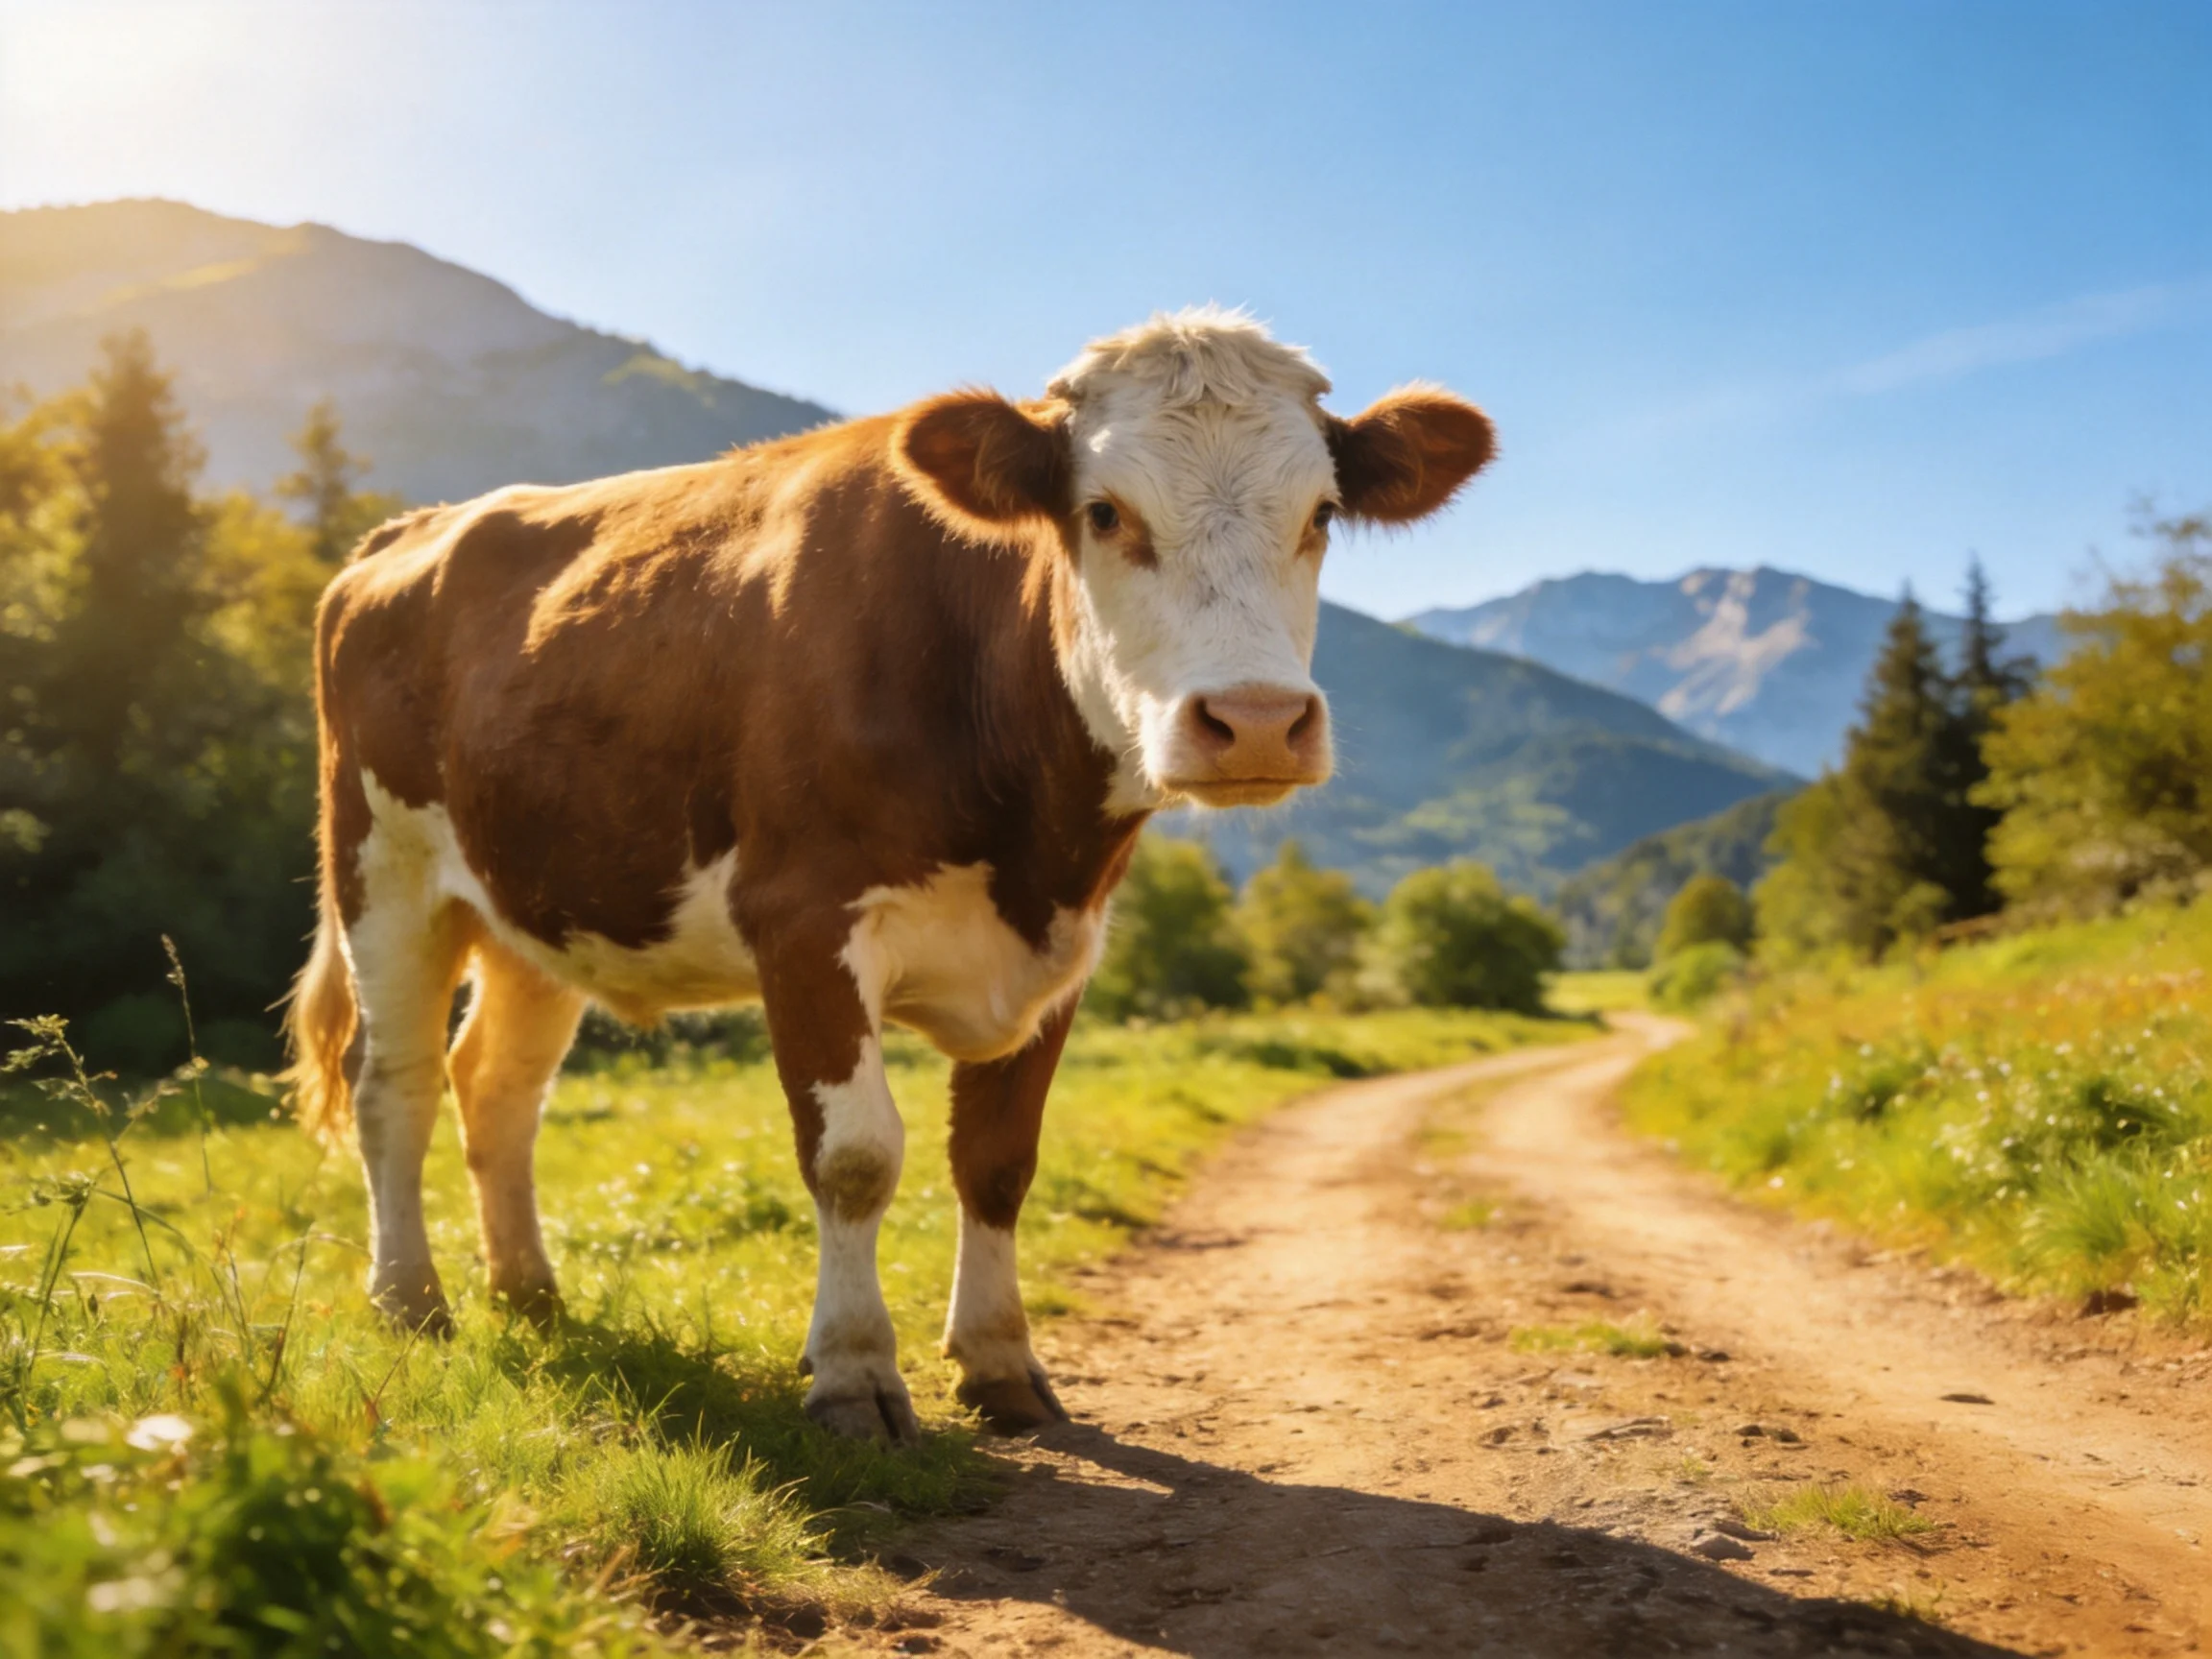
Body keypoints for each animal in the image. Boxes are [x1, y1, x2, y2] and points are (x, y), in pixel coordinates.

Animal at [285, 308, 1493, 1439]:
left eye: (1322, 514)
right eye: (1105, 512)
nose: (1254, 721)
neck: (1027, 827)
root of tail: (409, 530)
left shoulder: (1065, 945)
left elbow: (999, 1160)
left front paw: (1002, 1365)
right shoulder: (804, 920)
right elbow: (855, 1156)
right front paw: (856, 1374)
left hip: (538, 909)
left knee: (498, 1088)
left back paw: (530, 1293)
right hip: (383, 873)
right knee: (396, 1084)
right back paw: (413, 1302)